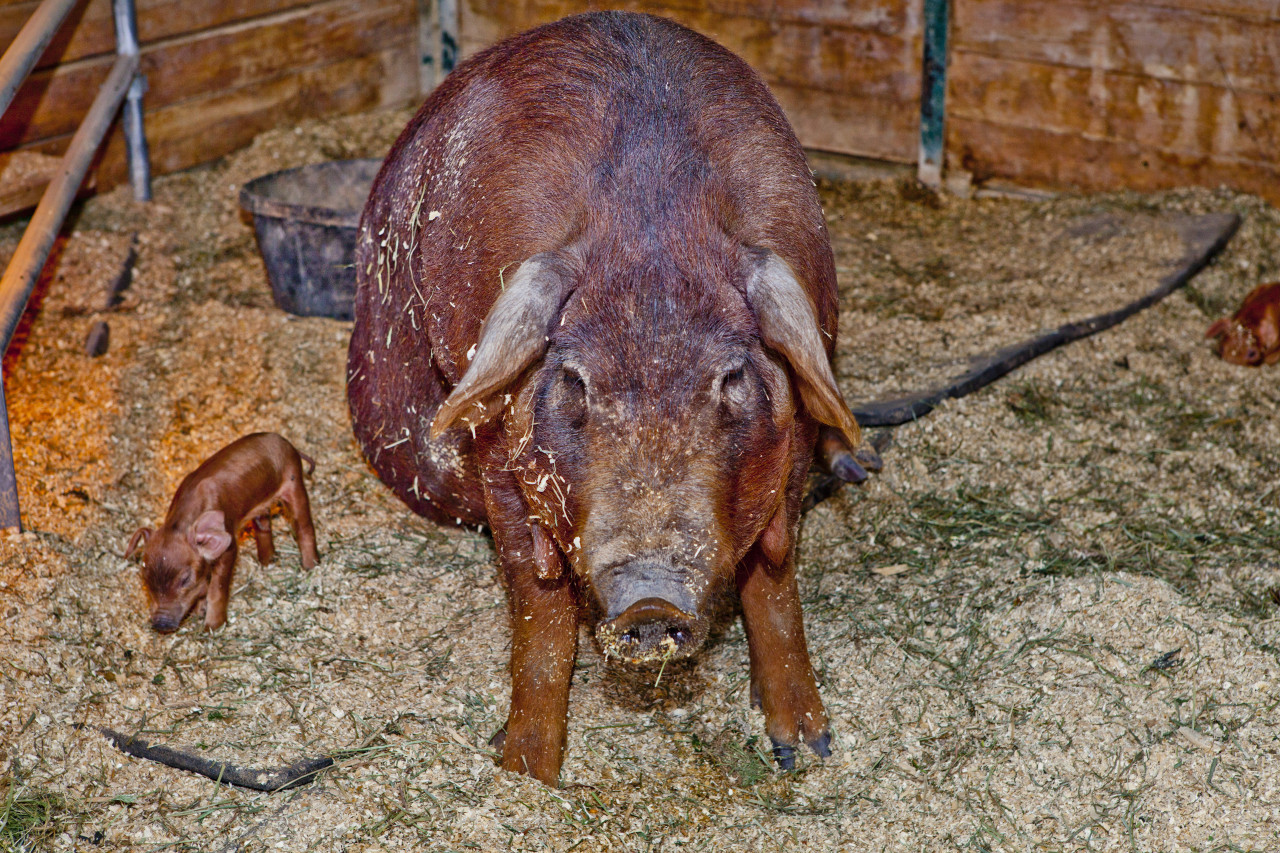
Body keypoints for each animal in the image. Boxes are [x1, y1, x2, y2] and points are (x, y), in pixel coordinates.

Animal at [348, 13, 860, 783]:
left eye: (730, 379)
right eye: (575, 381)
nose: (649, 597)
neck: (651, 223)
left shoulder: (795, 426)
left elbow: (774, 581)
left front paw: (805, 747)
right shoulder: (501, 456)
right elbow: (540, 612)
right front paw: (525, 773)